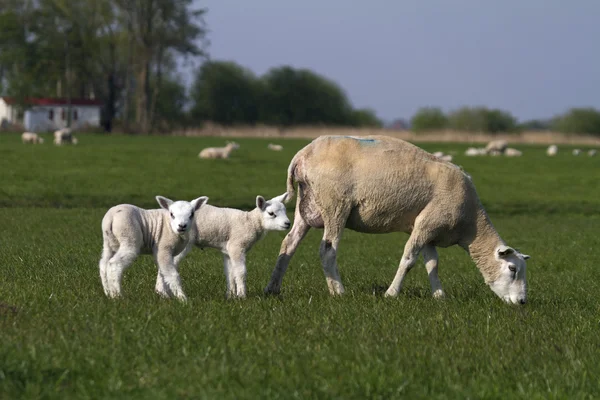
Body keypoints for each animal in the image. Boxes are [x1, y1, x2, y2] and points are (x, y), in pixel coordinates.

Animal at [264, 136, 532, 304]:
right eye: (512, 269)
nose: (521, 302)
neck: (470, 224)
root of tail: (302, 155)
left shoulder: (431, 229)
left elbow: (432, 263)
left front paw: (439, 296)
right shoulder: (427, 223)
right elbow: (409, 259)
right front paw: (391, 294)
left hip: (306, 205)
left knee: (289, 244)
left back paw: (272, 288)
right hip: (335, 205)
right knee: (327, 250)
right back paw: (338, 291)